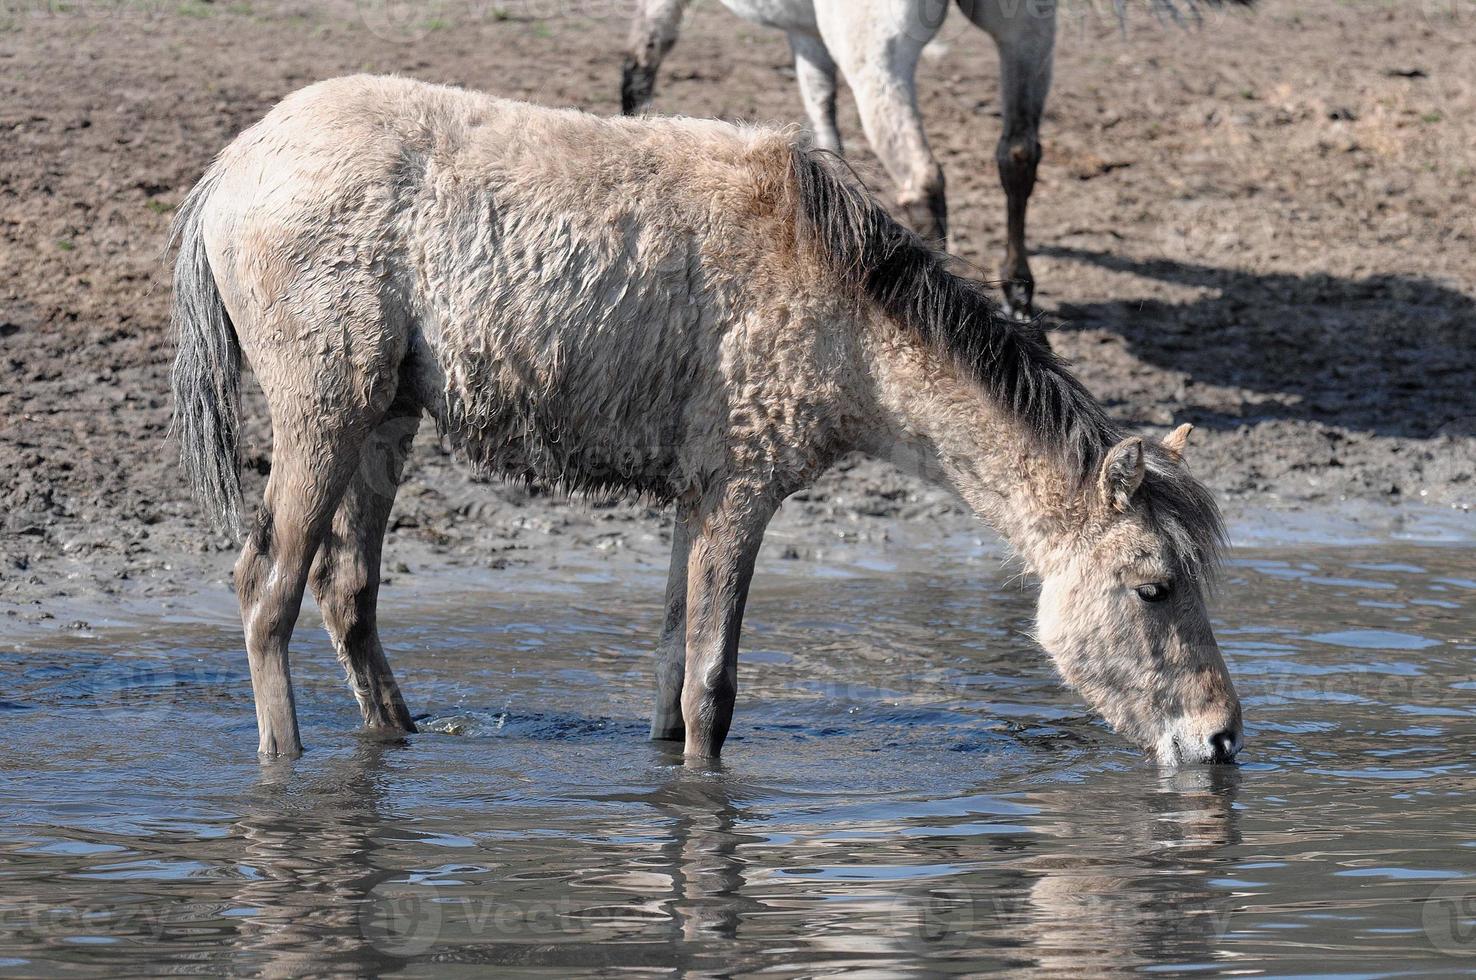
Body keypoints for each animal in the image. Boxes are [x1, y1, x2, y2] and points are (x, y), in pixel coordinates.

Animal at [167, 74, 1239, 767]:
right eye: (1153, 588)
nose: (1224, 736)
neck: (840, 302)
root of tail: (232, 165)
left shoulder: (695, 501)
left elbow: (668, 677)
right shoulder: (740, 496)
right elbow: (710, 695)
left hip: (384, 424)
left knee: (348, 594)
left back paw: (398, 738)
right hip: (323, 417)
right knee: (269, 590)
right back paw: (283, 765)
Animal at [616, 0, 1251, 317]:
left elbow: (643, 58)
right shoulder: (807, 36)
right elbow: (822, 119)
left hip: (878, 52)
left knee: (923, 180)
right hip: (1026, 27)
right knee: (1017, 152)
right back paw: (1018, 295)